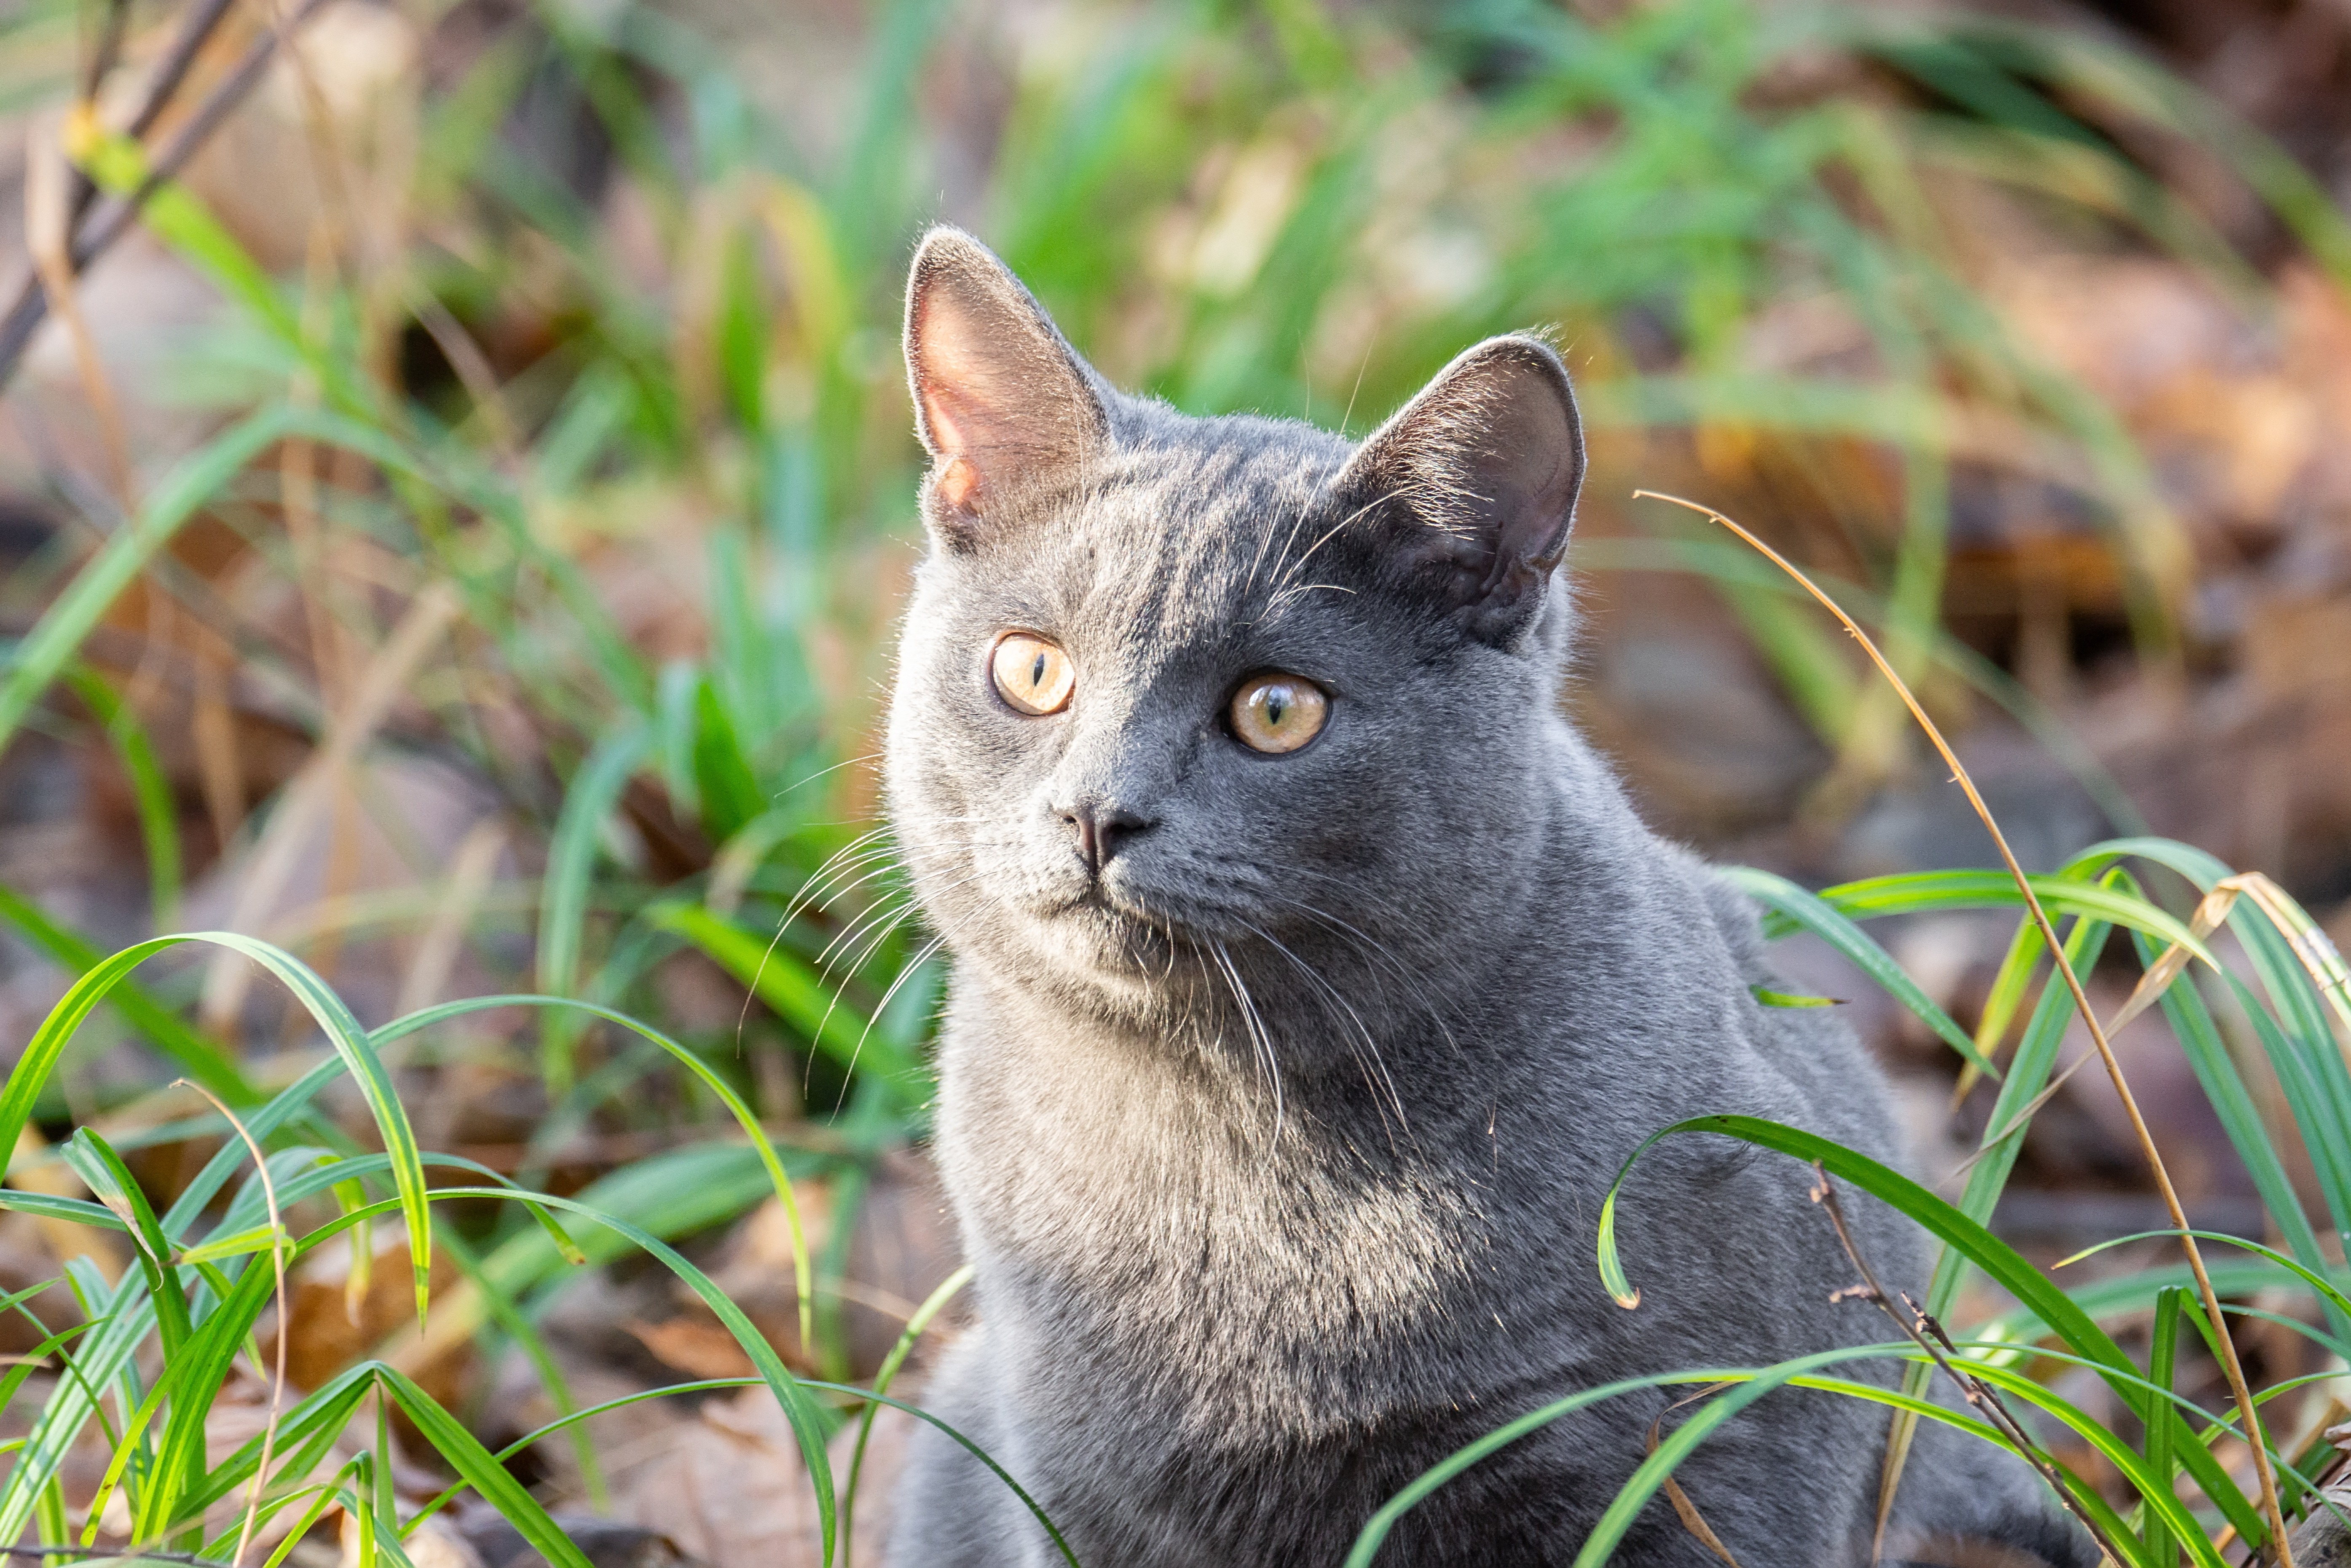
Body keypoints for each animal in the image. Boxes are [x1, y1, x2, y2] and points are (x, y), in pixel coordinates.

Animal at [874, 223, 2088, 1568]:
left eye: (1277, 709)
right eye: (1031, 670)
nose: (1096, 812)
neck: (1219, 1130)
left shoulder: (1722, 1448)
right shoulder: (1068, 1477)